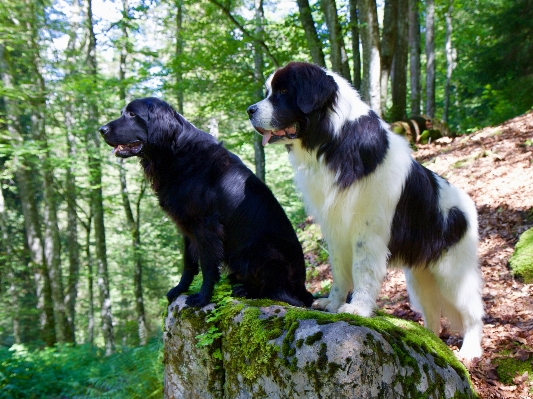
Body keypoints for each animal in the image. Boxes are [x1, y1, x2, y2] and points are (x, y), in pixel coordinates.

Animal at [98, 97, 314, 310]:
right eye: (122, 113)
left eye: (132, 114)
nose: (101, 129)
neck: (176, 152)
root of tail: (302, 288)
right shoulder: (186, 225)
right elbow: (188, 262)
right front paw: (180, 289)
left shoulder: (206, 224)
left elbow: (208, 265)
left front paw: (202, 298)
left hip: (263, 250)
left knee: (281, 294)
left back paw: (245, 290)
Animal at [247, 62, 484, 362]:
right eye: (269, 92)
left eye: (282, 92)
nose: (250, 110)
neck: (333, 141)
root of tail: (467, 205)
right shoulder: (335, 226)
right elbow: (339, 270)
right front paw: (332, 302)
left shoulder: (368, 229)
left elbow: (363, 269)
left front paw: (357, 308)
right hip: (420, 276)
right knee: (432, 310)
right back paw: (430, 340)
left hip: (453, 271)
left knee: (472, 310)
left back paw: (470, 349)